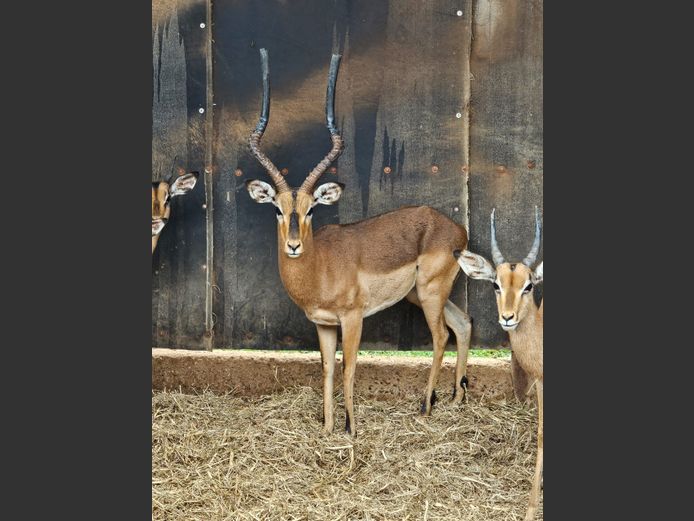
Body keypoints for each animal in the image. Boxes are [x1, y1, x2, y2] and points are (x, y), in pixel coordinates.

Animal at [245, 49, 473, 436]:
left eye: (311, 209)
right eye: (277, 208)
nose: (293, 246)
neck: (320, 267)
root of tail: (454, 227)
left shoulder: (352, 318)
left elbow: (349, 367)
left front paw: (350, 429)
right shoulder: (323, 324)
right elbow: (327, 369)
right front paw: (326, 429)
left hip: (430, 293)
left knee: (442, 336)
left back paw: (426, 407)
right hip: (421, 294)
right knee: (463, 324)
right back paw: (456, 400)